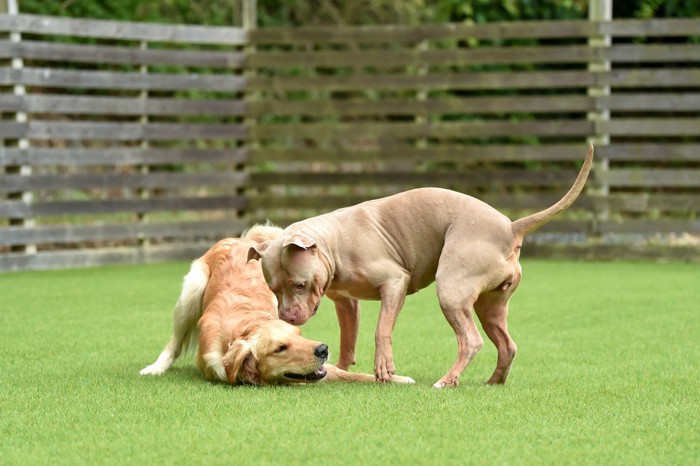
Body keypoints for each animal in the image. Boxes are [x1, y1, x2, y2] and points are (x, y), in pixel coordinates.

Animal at [141, 224, 416, 384]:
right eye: (280, 348)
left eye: (299, 335)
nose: (323, 349)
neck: (244, 328)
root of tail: (244, 240)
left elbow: (350, 373)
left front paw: (395, 378)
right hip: (192, 290)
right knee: (175, 342)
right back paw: (155, 368)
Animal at [249, 144, 592, 388]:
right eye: (274, 290)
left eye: (299, 284)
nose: (287, 317)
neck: (333, 240)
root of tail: (510, 227)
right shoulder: (346, 302)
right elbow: (348, 342)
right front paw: (337, 369)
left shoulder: (394, 282)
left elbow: (381, 330)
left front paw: (384, 368)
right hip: (489, 305)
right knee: (507, 345)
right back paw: (493, 381)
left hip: (451, 290)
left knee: (471, 340)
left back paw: (447, 381)